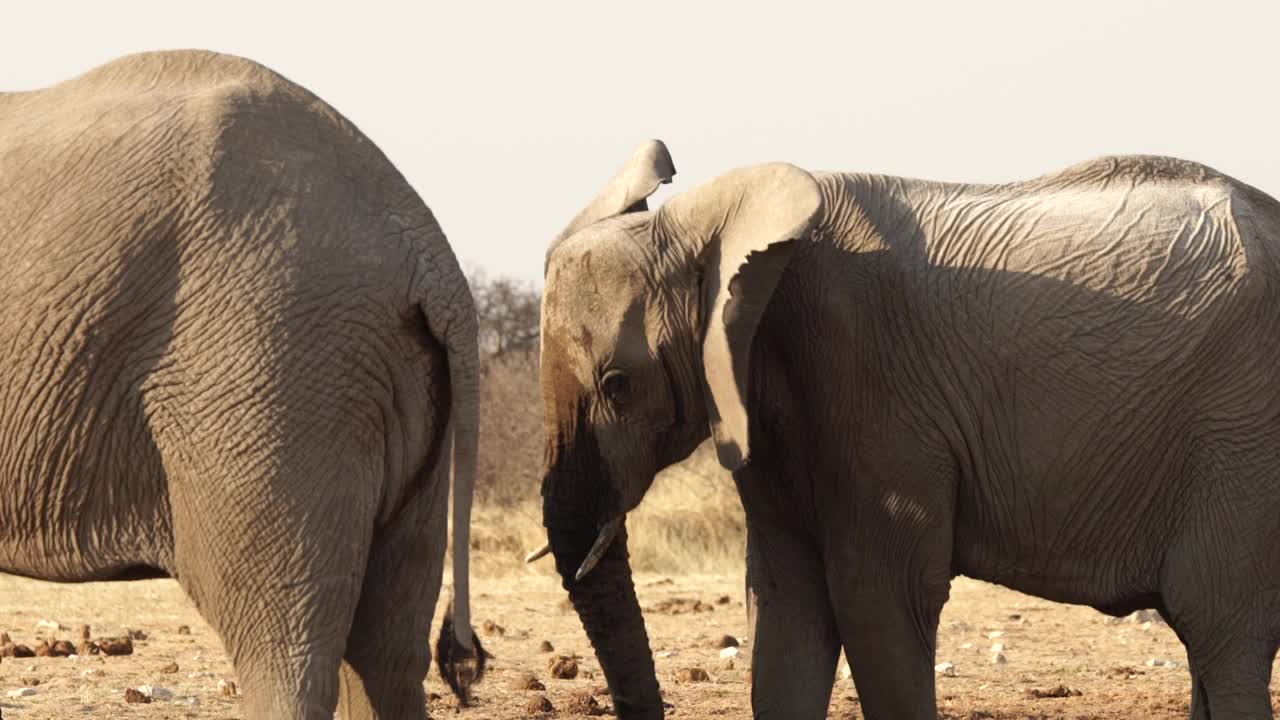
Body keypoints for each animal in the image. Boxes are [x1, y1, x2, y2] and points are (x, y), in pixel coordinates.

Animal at [537, 140, 1280, 717]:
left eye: (618, 385)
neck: (706, 225)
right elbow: (786, 603)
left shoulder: (869, 382)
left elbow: (876, 594)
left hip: (1243, 434)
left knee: (1221, 635)